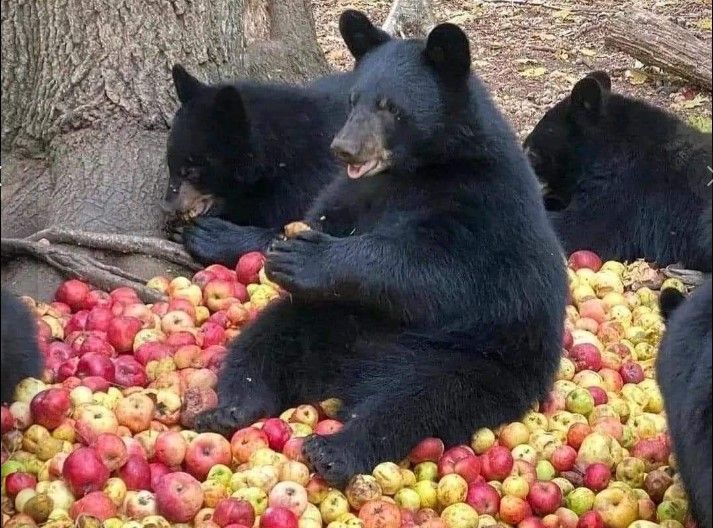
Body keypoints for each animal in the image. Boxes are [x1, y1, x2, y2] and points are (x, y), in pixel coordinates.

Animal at [194, 10, 567, 487]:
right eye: (354, 99)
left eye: (390, 106)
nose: (344, 148)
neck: (415, 170)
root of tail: (347, 374)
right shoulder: (357, 192)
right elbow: (325, 213)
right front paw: (279, 248)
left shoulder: (483, 203)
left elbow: (441, 272)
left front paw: (307, 258)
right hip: (327, 320)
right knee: (265, 339)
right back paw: (232, 408)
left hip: (474, 358)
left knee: (417, 399)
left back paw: (337, 449)